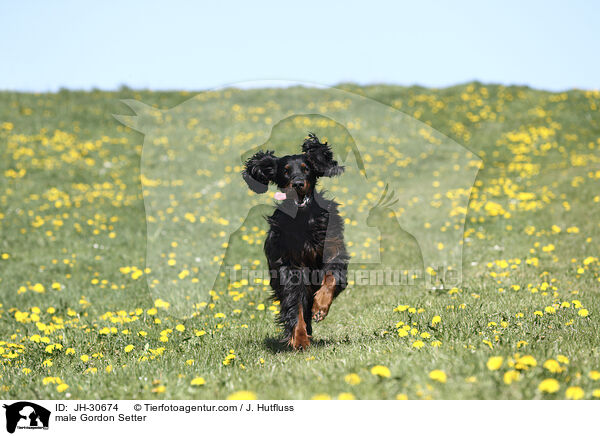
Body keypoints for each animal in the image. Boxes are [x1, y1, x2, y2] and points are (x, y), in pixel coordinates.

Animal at [241, 132, 350, 348]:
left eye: (306, 168)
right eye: (285, 171)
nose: (298, 183)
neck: (304, 218)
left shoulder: (333, 251)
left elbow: (332, 276)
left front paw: (320, 306)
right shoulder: (290, 268)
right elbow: (295, 305)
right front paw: (299, 339)